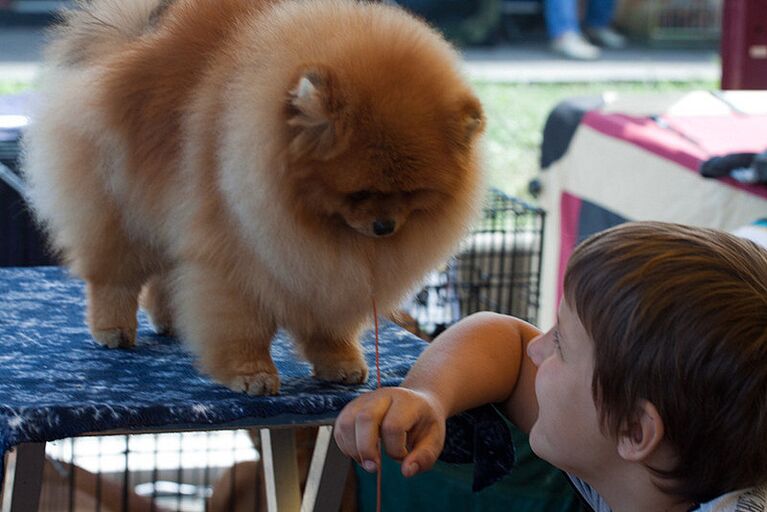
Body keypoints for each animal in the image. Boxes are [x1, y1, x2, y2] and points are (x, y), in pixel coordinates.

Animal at [25, 0, 486, 396]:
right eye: (360, 192)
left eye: (411, 193)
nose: (384, 227)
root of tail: (132, 38)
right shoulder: (234, 250)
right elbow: (242, 324)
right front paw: (252, 374)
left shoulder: (327, 272)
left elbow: (329, 324)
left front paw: (339, 363)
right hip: (120, 208)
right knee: (115, 276)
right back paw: (114, 329)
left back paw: (173, 321)